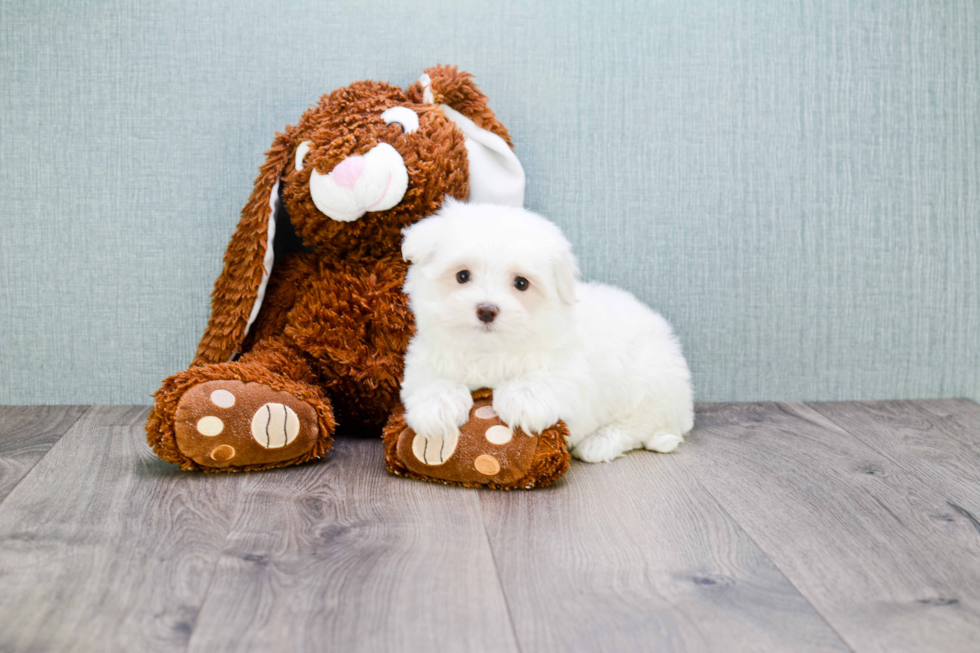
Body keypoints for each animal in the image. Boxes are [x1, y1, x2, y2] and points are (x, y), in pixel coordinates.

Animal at [400, 201, 696, 460]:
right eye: (462, 276)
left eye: (521, 283)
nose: (486, 310)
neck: (490, 350)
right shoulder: (425, 358)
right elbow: (428, 380)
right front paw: (437, 406)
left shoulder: (571, 374)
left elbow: (547, 381)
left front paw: (521, 399)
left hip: (650, 379)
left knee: (642, 423)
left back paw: (601, 443)